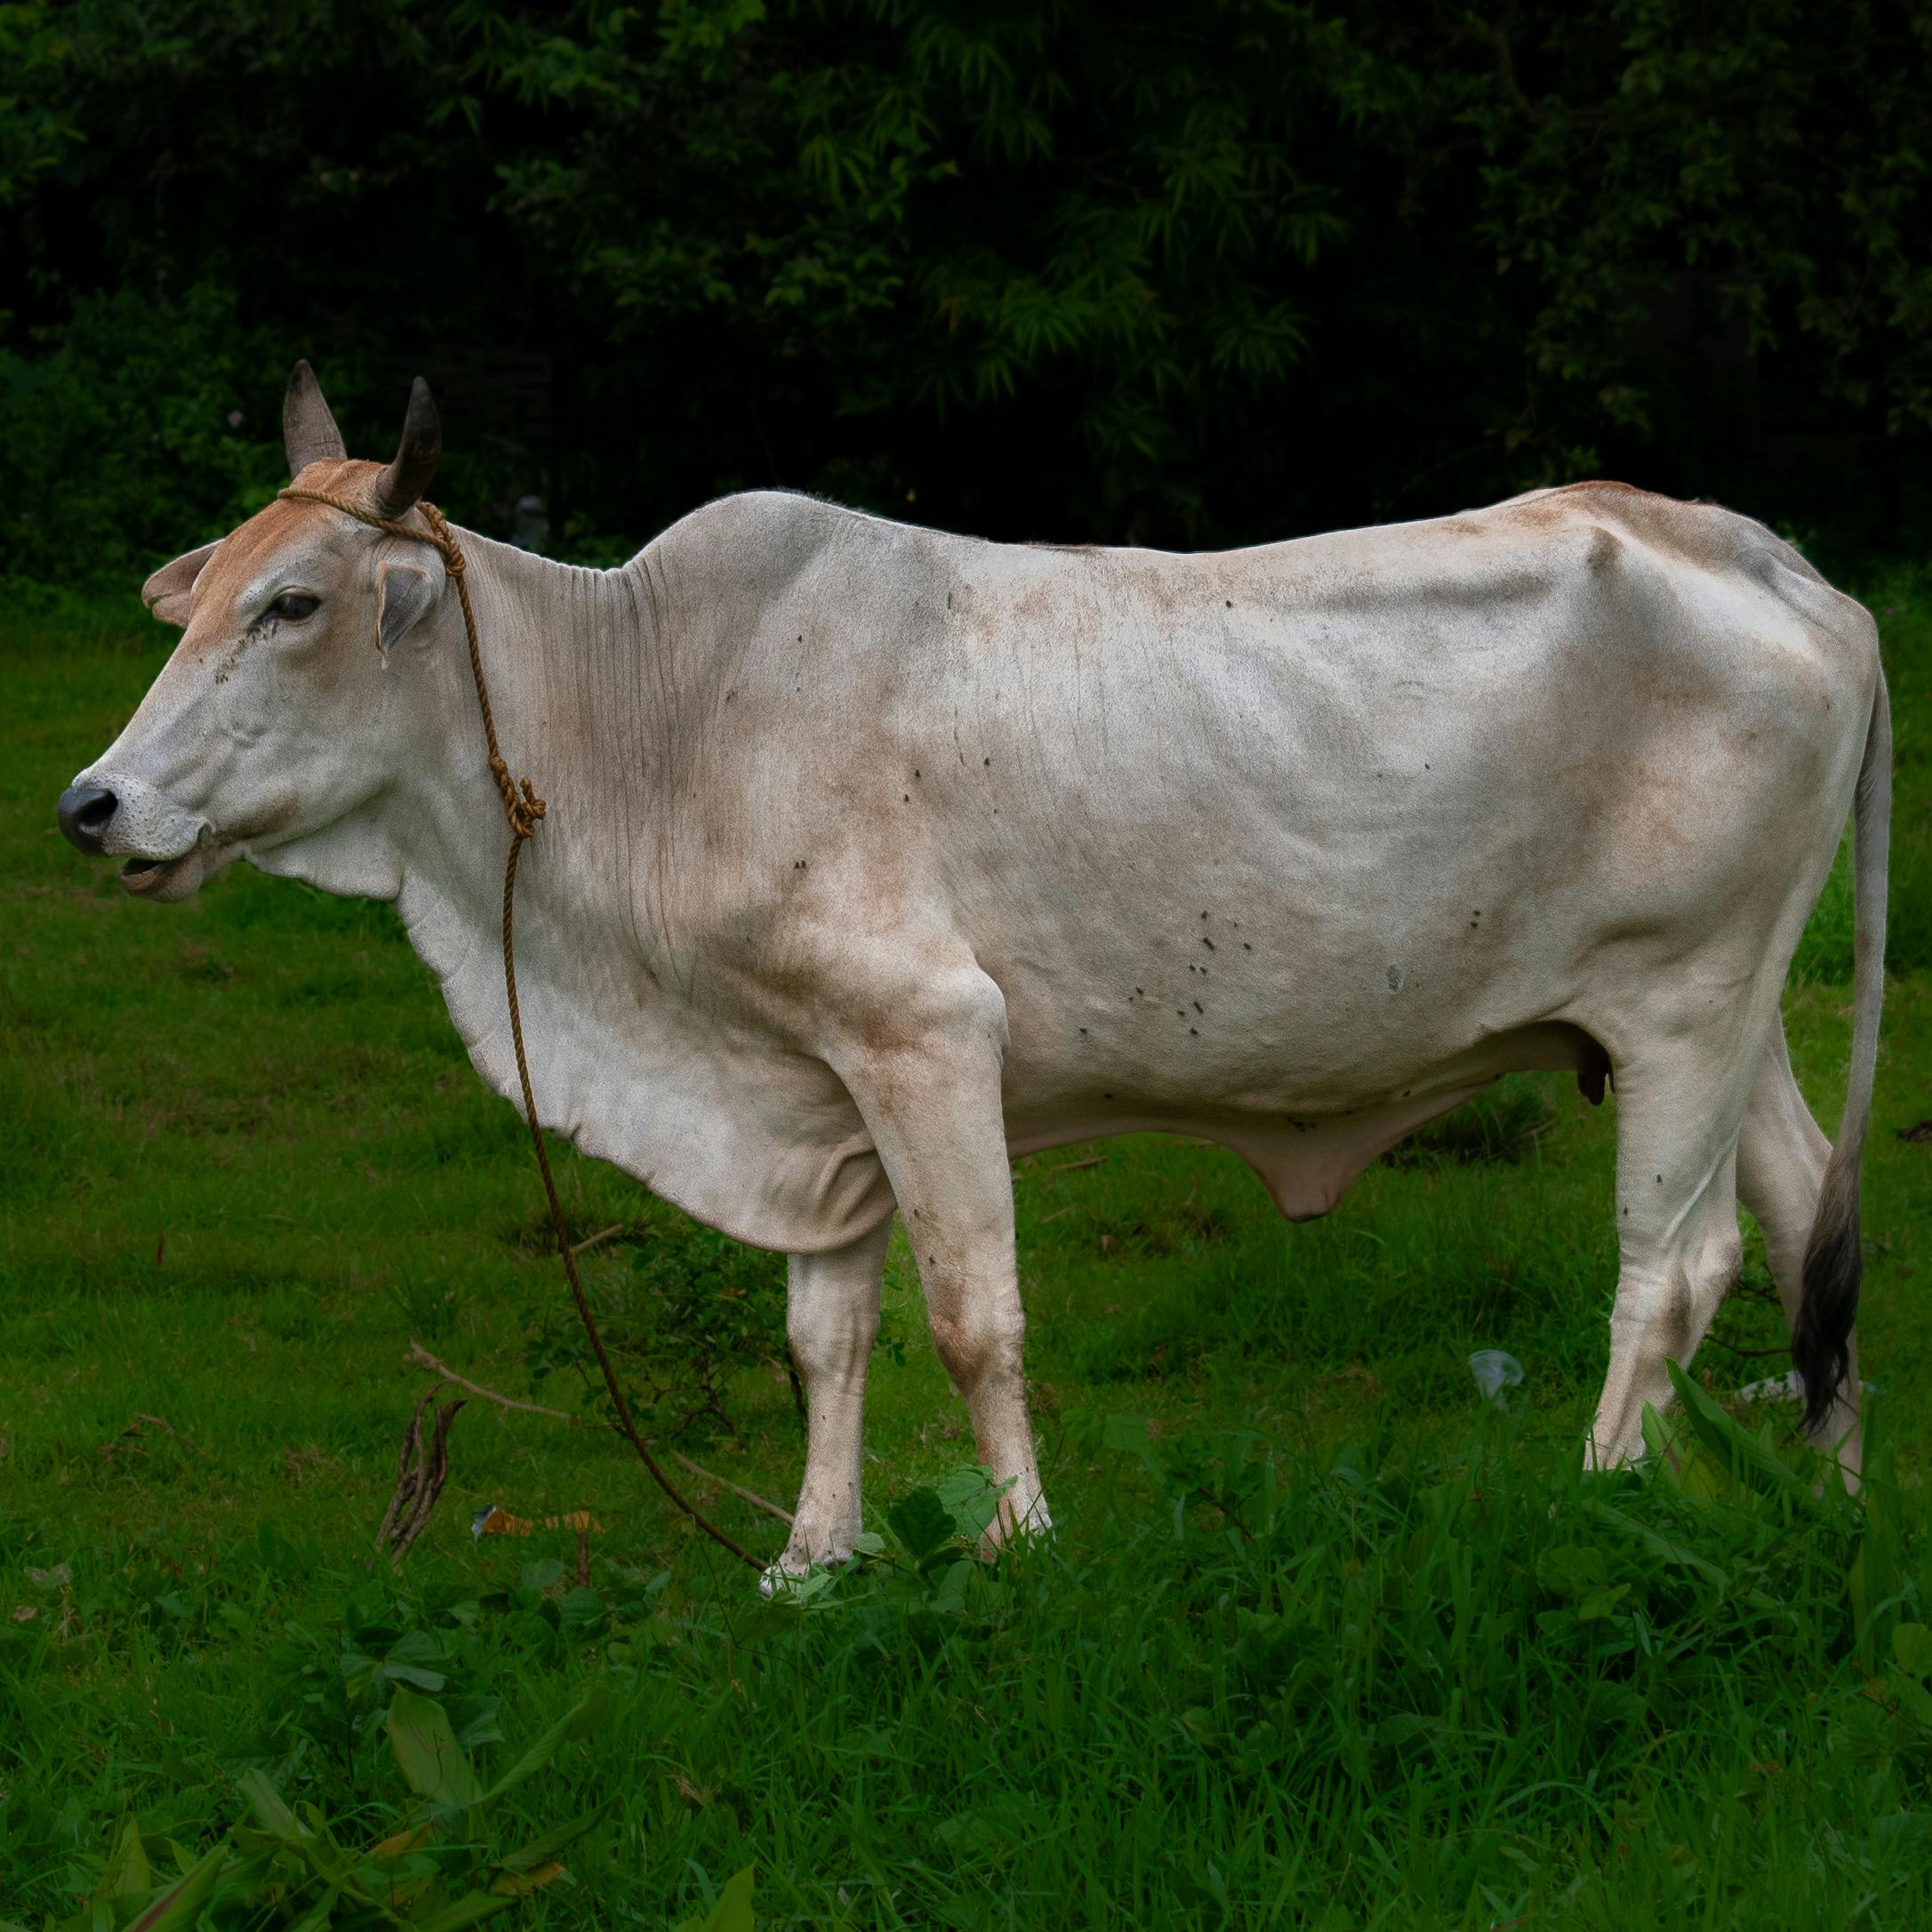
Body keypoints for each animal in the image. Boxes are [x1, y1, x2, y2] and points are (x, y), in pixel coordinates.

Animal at [58, 365, 1889, 1578]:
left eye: (294, 604)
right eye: (195, 598)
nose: (95, 804)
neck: (649, 713)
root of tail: (1774, 560)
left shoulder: (925, 1035)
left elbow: (969, 1316)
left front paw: (1016, 1542)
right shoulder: (814, 1084)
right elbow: (825, 1335)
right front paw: (813, 1559)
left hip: (1682, 1001)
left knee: (1677, 1263)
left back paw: (1607, 1488)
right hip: (1727, 1021)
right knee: (1808, 1215)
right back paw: (1822, 1490)